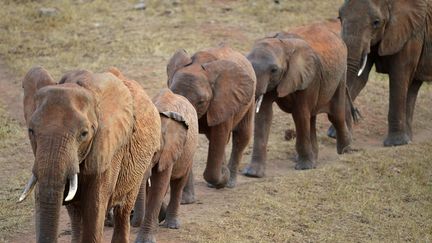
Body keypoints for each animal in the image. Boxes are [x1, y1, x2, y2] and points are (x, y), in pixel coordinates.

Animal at [17, 67, 160, 243]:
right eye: (31, 131)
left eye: (84, 134)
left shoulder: (110, 149)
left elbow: (94, 206)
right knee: (76, 215)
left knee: (123, 210)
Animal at [132, 89, 198, 243]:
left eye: (155, 152)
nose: (132, 221)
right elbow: (150, 186)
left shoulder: (169, 149)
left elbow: (159, 185)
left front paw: (145, 240)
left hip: (189, 152)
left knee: (178, 184)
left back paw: (171, 225)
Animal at [167, 45, 256, 190]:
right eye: (174, 95)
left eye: (201, 102)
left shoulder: (223, 101)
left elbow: (219, 135)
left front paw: (223, 177)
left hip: (249, 98)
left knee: (241, 135)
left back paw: (229, 182)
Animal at [241, 20, 356, 177]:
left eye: (274, 70)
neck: (283, 45)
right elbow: (264, 115)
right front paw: (252, 174)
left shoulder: (308, 77)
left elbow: (300, 114)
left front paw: (304, 167)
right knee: (311, 117)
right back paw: (315, 158)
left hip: (341, 74)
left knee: (335, 115)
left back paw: (344, 150)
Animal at [338, 0, 432, 146]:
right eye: (339, 18)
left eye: (376, 22)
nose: (356, 114)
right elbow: (361, 78)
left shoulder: (411, 33)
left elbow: (399, 75)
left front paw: (395, 143)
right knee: (414, 87)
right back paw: (409, 138)